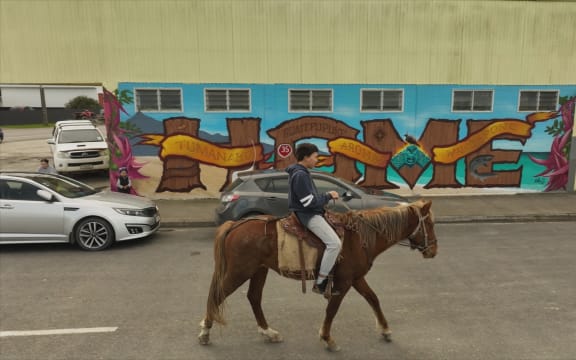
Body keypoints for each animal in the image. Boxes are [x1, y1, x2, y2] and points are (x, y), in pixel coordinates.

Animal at [198, 198, 436, 350]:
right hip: (240, 271)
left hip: (259, 270)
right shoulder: (344, 282)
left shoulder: (357, 278)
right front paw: (327, 338)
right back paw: (205, 333)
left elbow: (373, 299)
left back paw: (268, 332)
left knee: (254, 297)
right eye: (429, 223)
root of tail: (235, 224)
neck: (360, 236)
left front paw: (385, 330)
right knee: (217, 295)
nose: (433, 251)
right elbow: (332, 309)